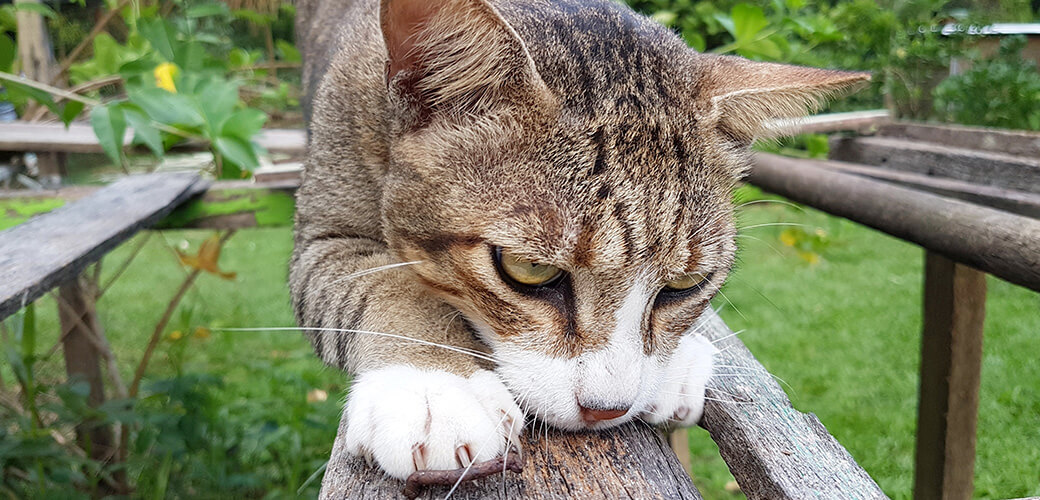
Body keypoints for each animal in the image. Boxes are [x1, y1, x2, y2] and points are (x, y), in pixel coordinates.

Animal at [289, 0, 865, 480]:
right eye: (529, 269)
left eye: (686, 285)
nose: (607, 408)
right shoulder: (320, 236)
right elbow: (384, 285)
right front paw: (434, 387)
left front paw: (678, 360)